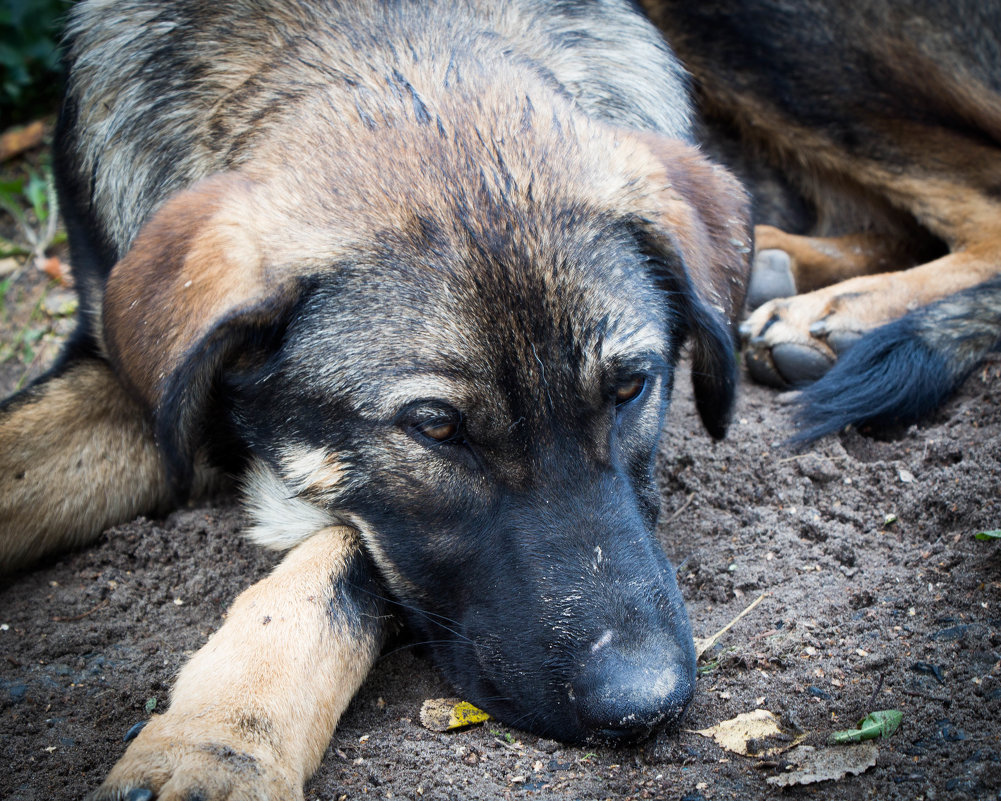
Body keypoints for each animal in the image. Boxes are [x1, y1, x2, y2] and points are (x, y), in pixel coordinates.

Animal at [0, 1, 752, 801]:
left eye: (630, 387)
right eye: (436, 427)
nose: (646, 704)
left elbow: (333, 573)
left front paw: (217, 741)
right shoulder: (128, 383)